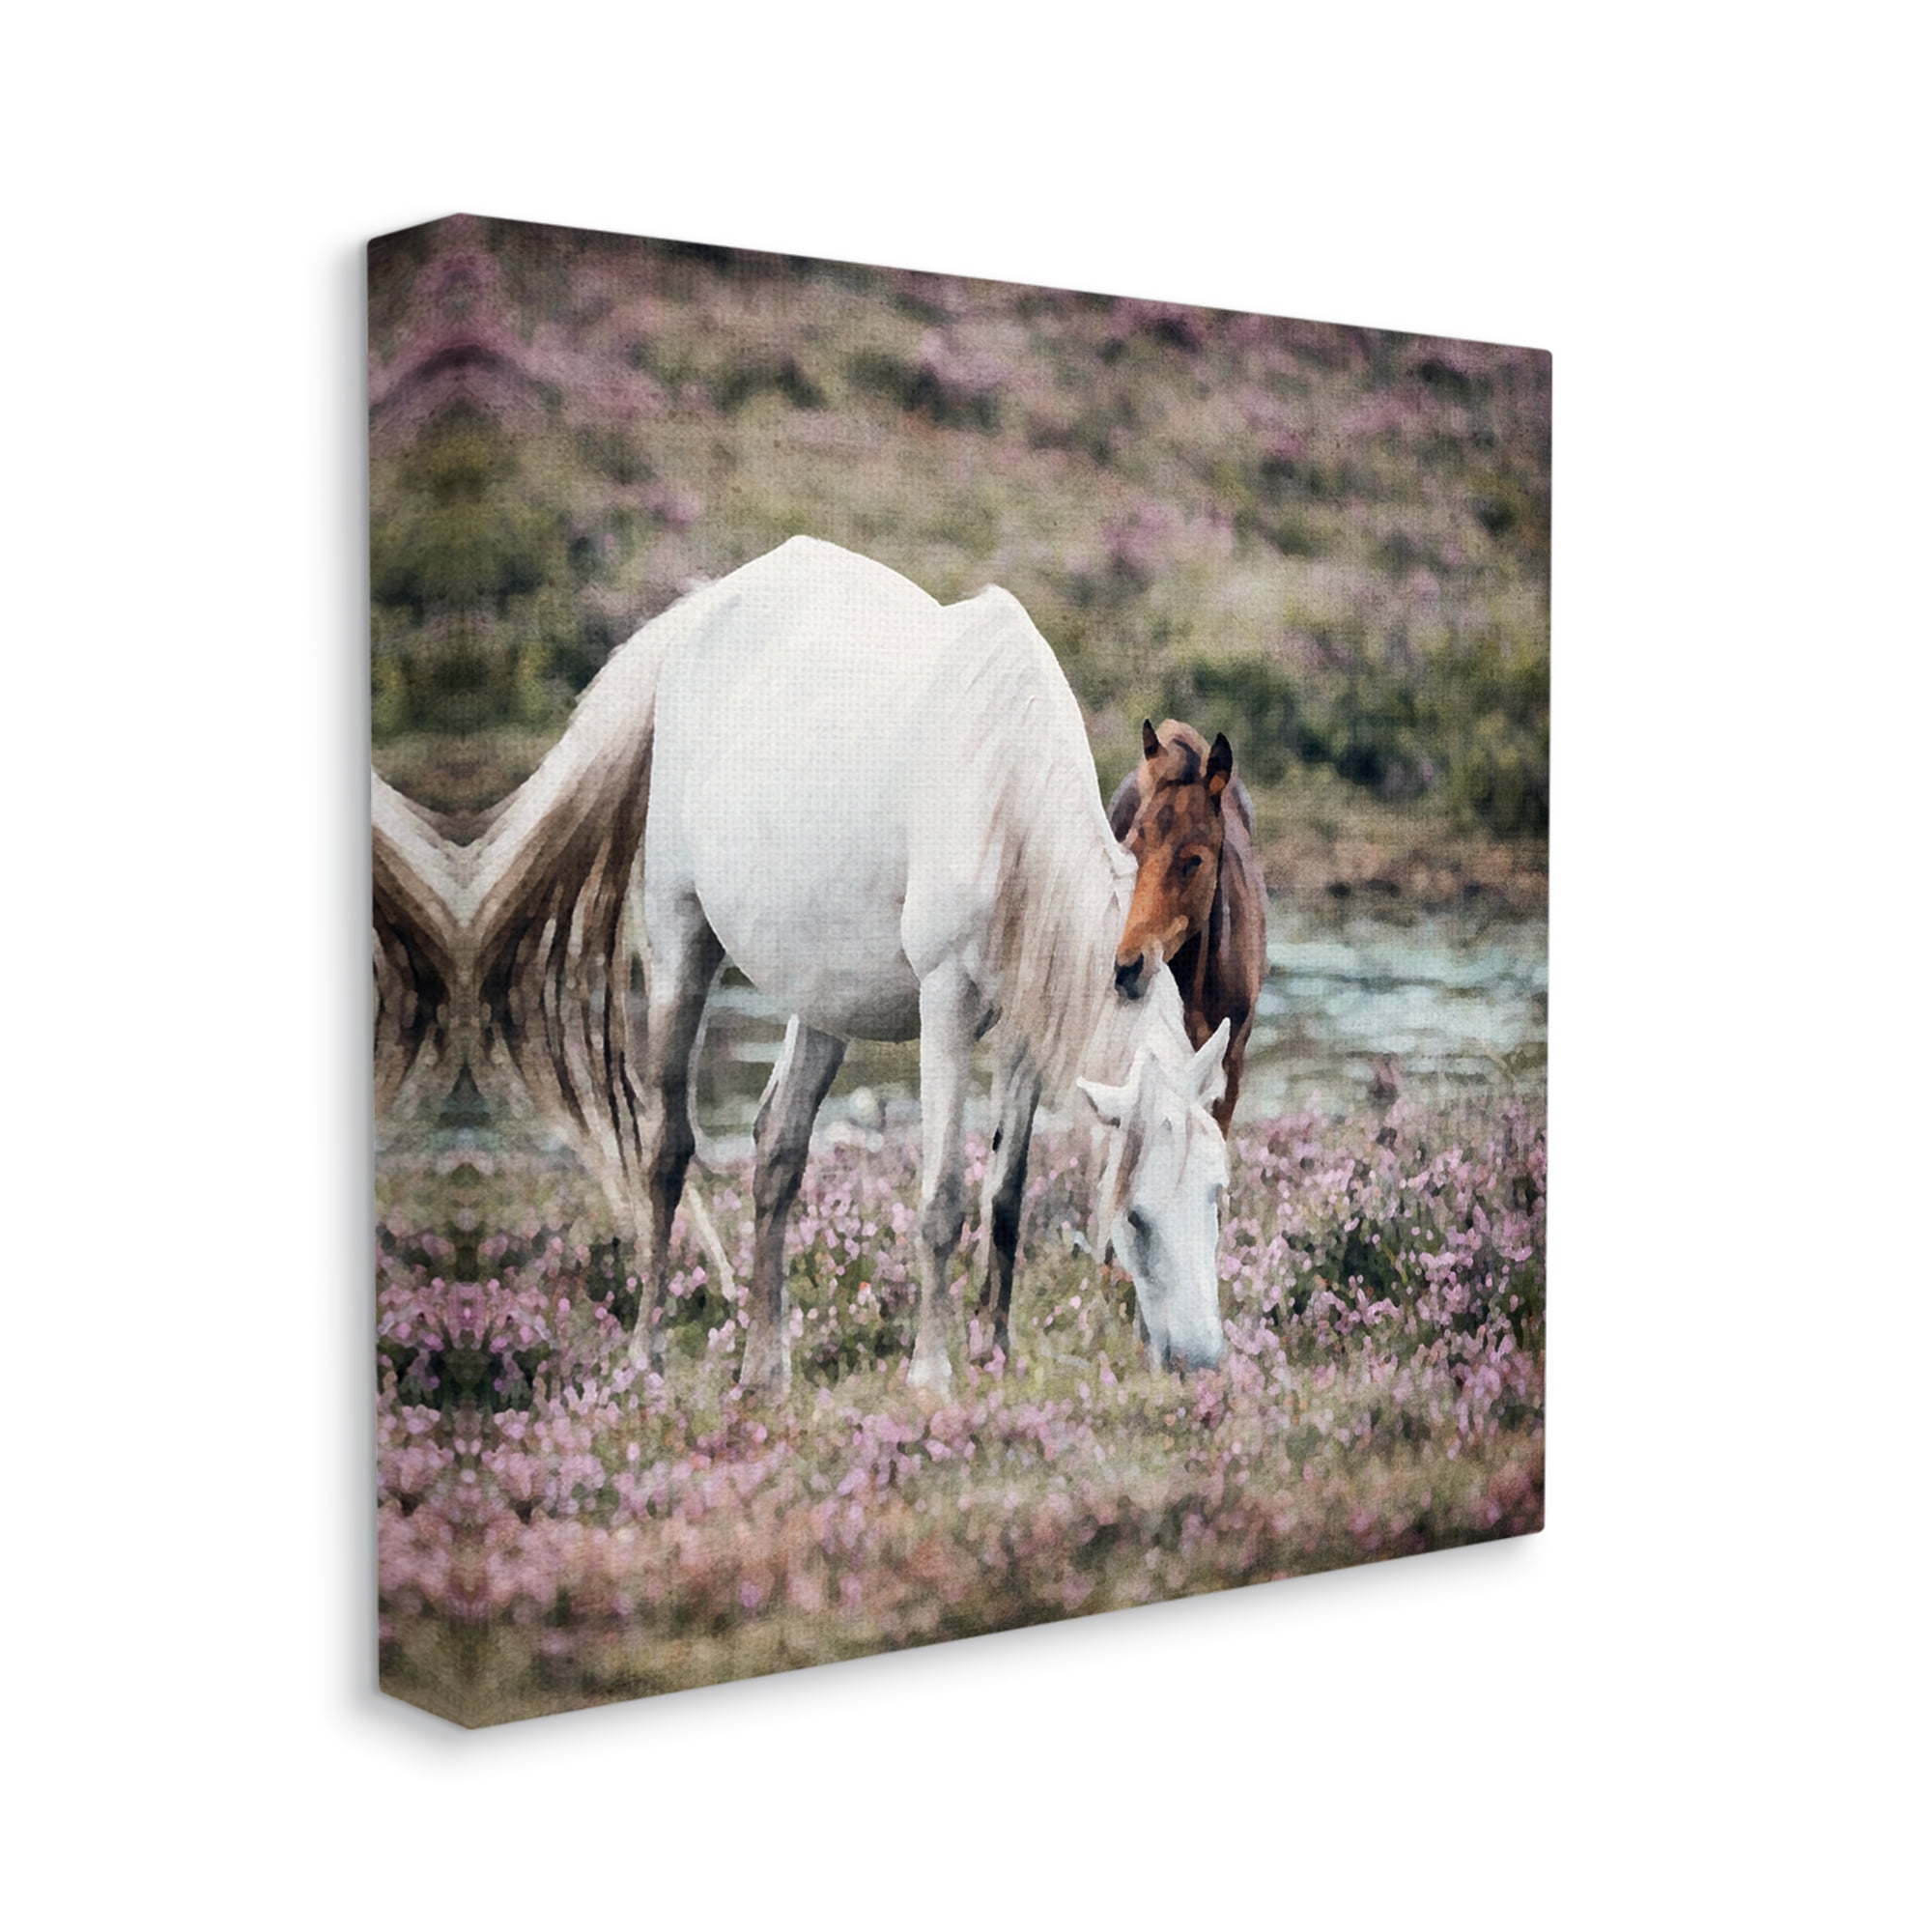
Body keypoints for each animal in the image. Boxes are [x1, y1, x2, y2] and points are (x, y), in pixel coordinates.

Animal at [466, 537, 1230, 1396]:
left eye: (1217, 1195)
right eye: (1136, 1215)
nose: (1203, 1362)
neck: (1001, 795)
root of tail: (699, 615)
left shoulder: (1029, 1019)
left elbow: (1005, 1195)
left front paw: (993, 1352)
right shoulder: (946, 1001)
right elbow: (944, 1197)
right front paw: (932, 1372)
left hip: (824, 994)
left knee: (777, 1147)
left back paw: (765, 1366)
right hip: (679, 938)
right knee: (666, 1152)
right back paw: (647, 1355)